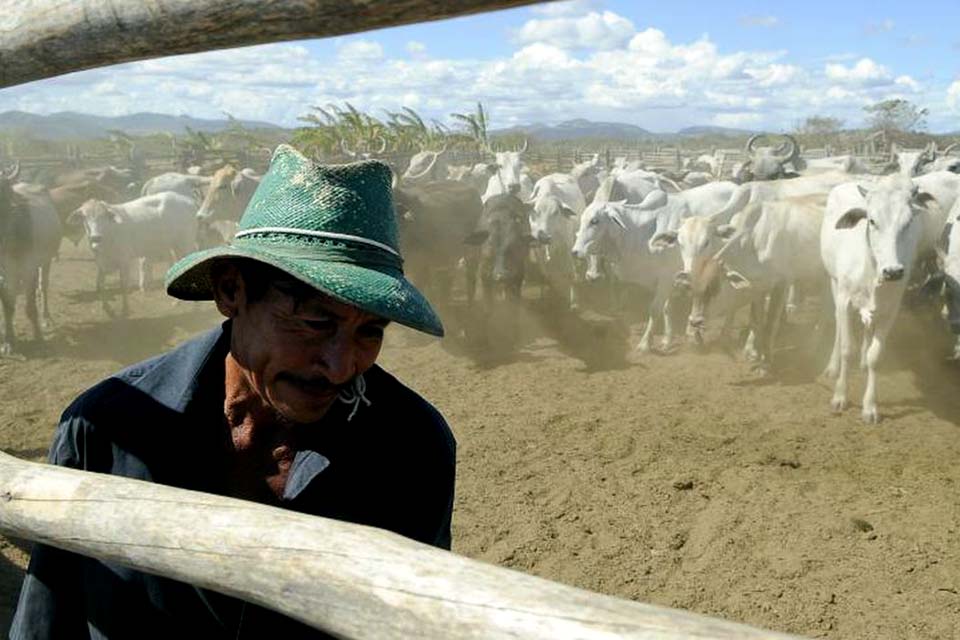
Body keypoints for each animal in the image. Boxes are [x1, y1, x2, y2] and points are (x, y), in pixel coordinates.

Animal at [69, 192, 199, 318]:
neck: (109, 234)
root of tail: (190, 202)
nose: (96, 237)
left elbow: (123, 285)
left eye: (104, 216)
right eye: (84, 217)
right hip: (175, 246)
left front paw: (125, 310)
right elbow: (100, 285)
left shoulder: (124, 261)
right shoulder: (101, 263)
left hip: (185, 243)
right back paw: (177, 302)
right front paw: (107, 308)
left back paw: (195, 306)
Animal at [820, 178, 940, 422]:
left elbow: (876, 356)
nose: (893, 271)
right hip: (834, 282)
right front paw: (840, 396)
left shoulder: (890, 309)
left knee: (868, 331)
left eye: (908, 222)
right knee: (838, 326)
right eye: (872, 221)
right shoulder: (845, 300)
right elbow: (847, 347)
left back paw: (863, 362)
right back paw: (833, 366)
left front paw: (870, 407)